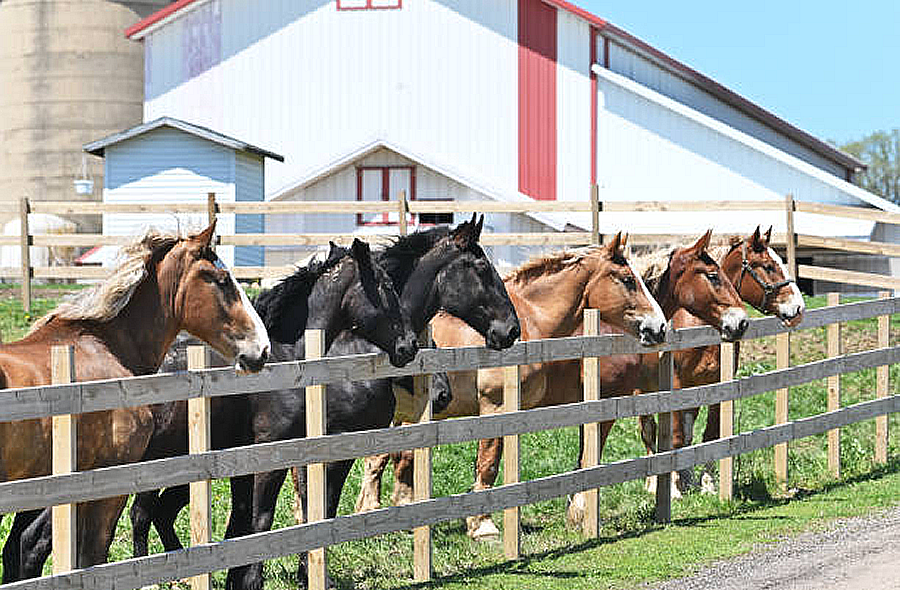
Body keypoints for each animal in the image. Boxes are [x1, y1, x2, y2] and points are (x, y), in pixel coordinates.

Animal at [120, 238, 421, 560]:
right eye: (387, 284)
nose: (409, 345)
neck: (284, 359)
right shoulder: (269, 455)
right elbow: (259, 522)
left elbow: (247, 523)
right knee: (141, 514)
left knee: (157, 513)